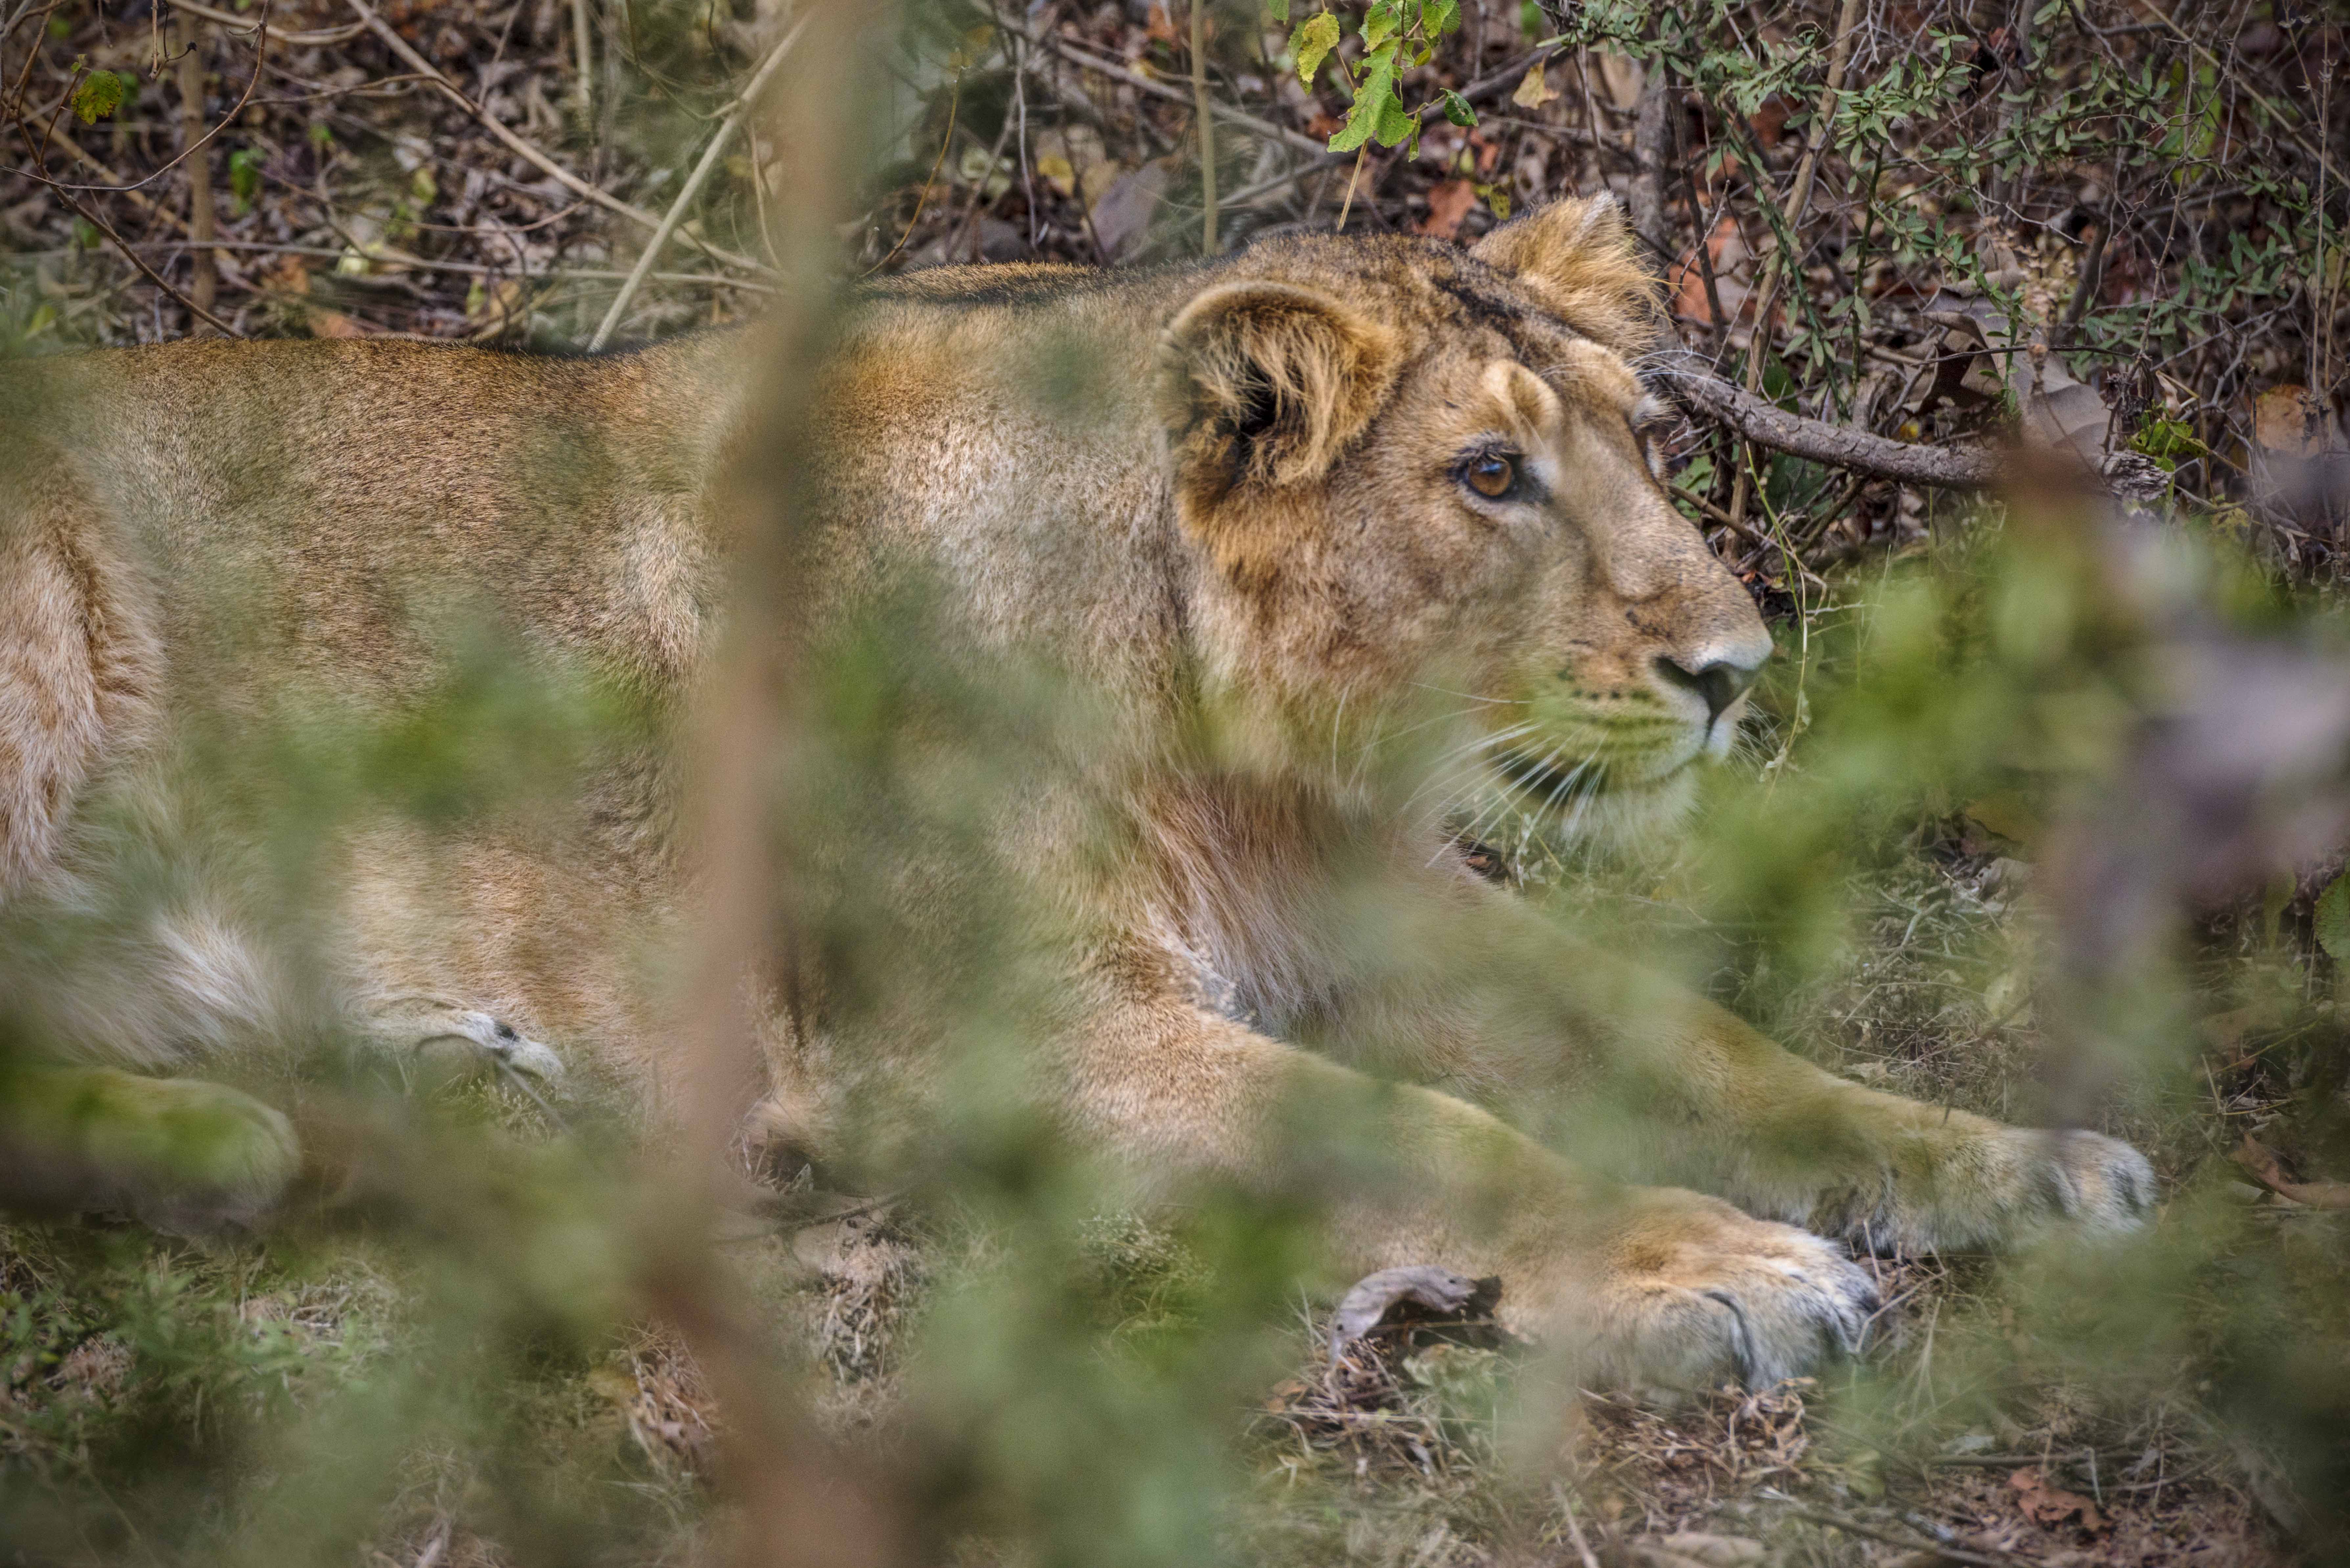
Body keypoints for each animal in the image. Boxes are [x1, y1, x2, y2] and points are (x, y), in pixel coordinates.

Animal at [0, 196, 2152, 1382]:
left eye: (1644, 437)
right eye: (1485, 477)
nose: (1733, 673)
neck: (1232, 748)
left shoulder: (1370, 910)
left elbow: (1708, 1050)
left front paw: (2019, 1165)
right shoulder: (982, 1034)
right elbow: (1431, 1133)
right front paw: (1716, 1267)